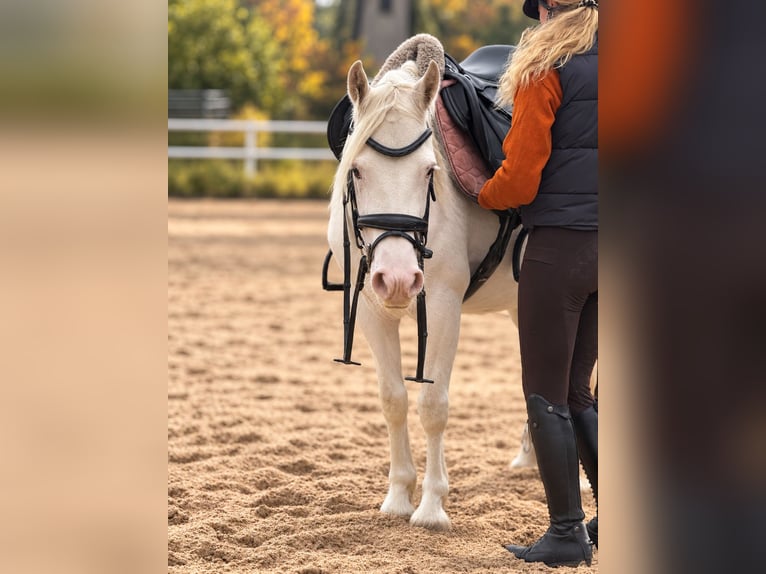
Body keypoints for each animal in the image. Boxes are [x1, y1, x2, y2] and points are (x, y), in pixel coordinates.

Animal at [326, 57, 530, 531]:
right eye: (357, 170)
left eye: (429, 171)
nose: (399, 278)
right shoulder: (371, 311)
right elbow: (394, 400)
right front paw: (399, 496)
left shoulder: (442, 308)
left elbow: (433, 405)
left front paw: (432, 506)